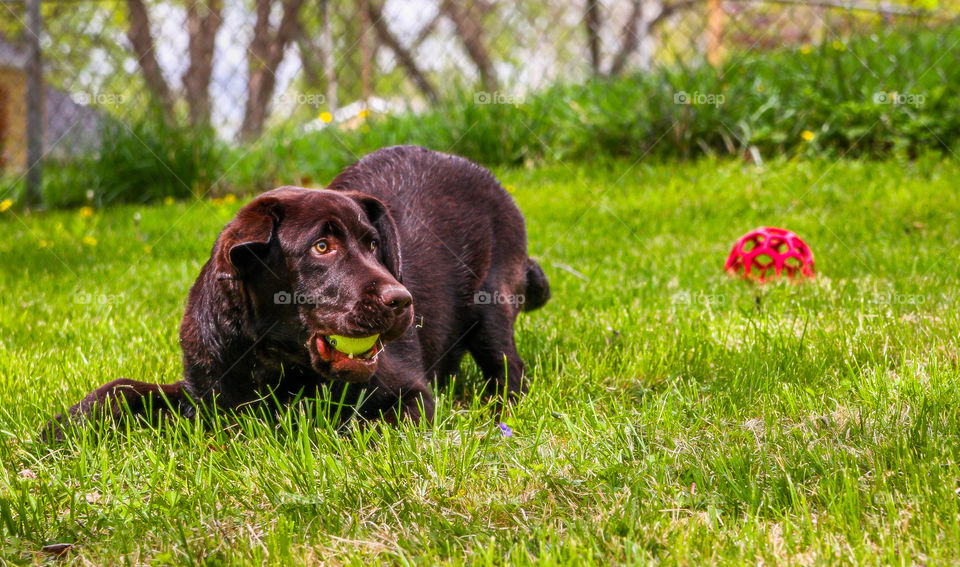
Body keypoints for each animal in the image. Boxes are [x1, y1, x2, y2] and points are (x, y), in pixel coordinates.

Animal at [45, 145, 552, 440]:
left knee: (510, 371)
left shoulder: (410, 395)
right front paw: (58, 431)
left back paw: (495, 411)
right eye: (322, 247)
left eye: (373, 245)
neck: (277, 362)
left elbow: (365, 427)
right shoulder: (203, 396)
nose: (401, 301)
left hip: (491, 305)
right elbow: (120, 389)